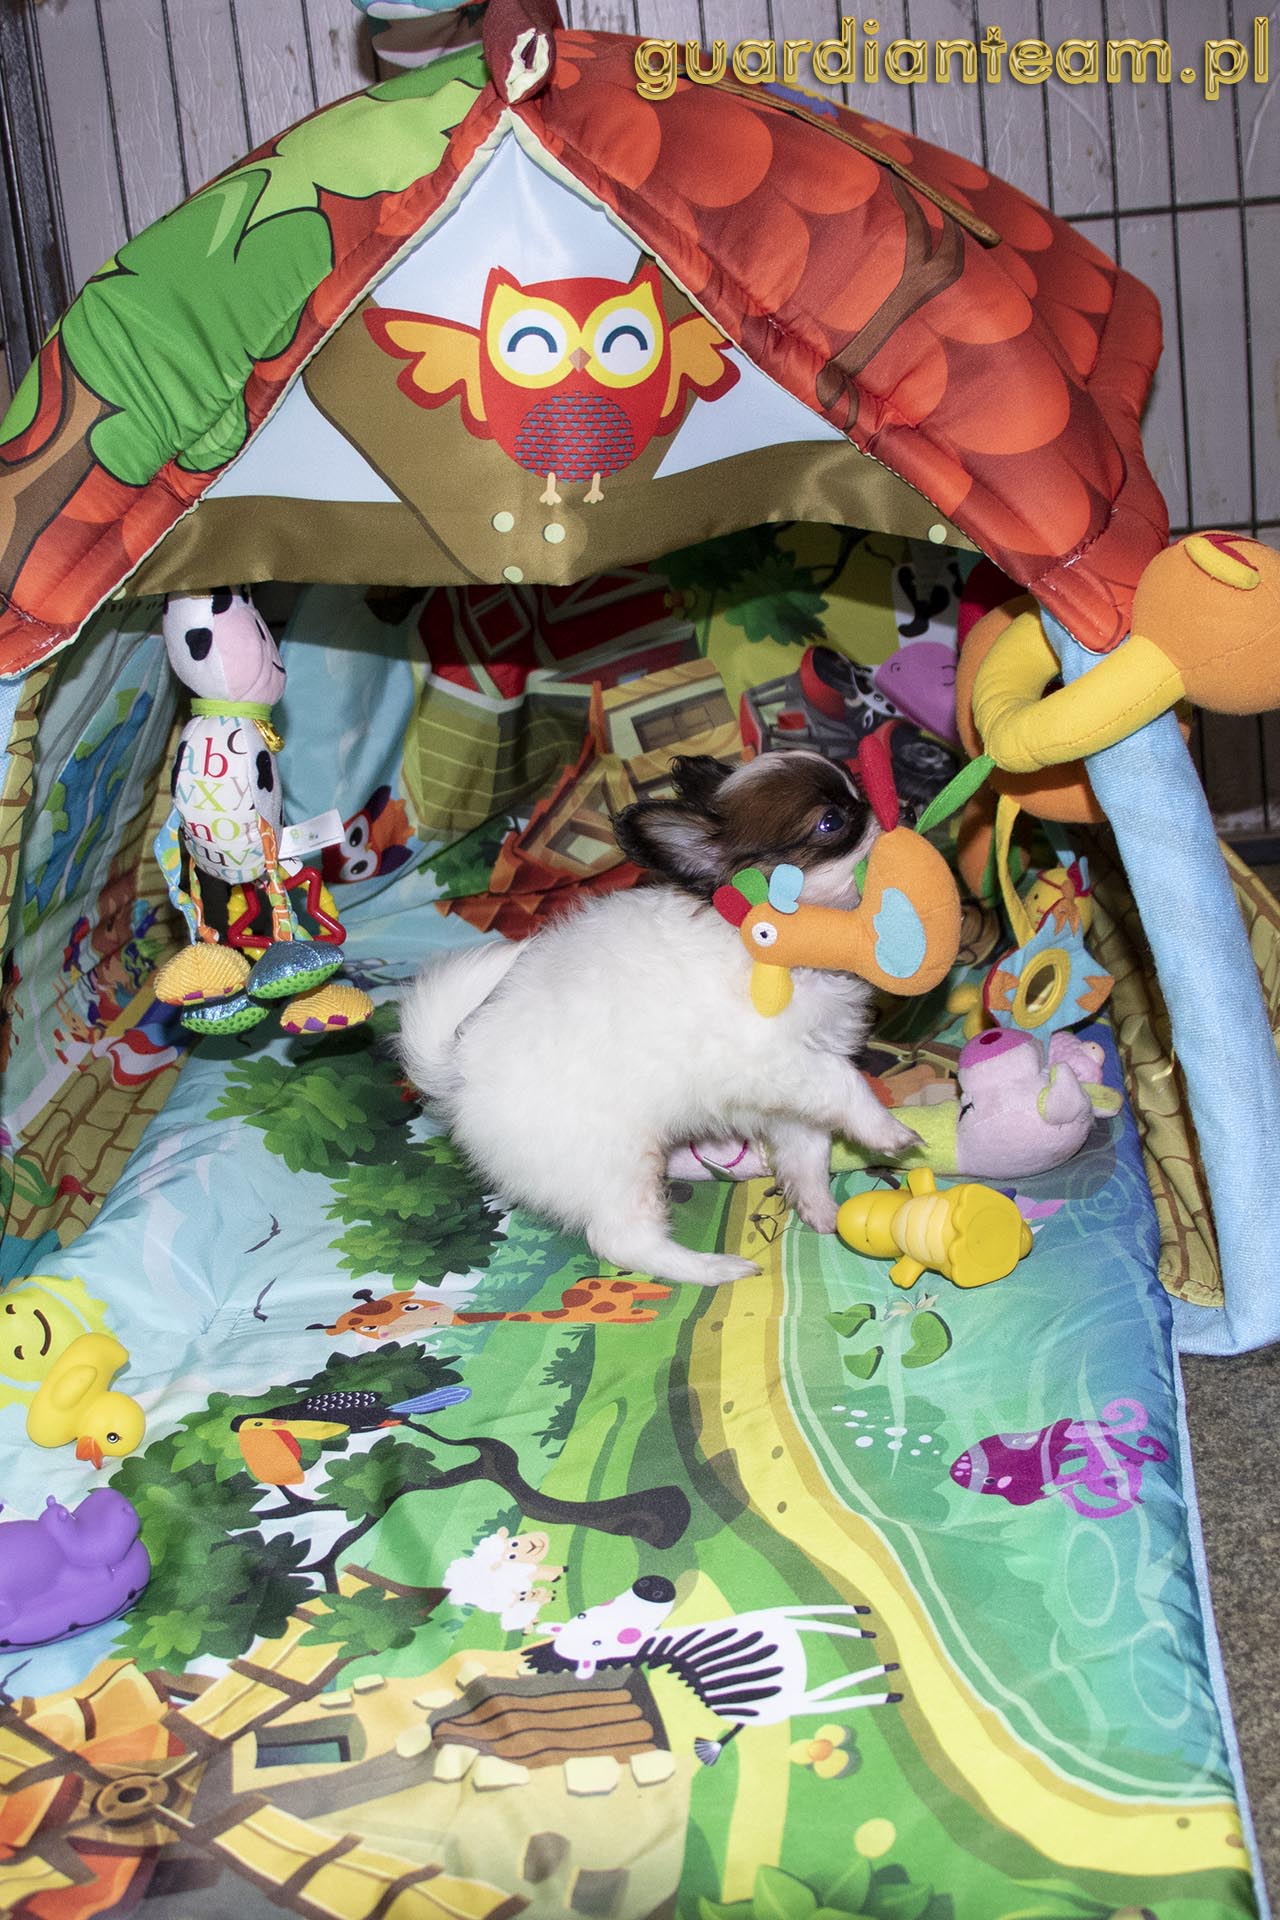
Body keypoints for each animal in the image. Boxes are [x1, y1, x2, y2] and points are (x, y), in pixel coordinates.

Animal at [396, 751, 919, 1286]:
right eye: (830, 822)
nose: (910, 810)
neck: (775, 949)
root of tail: (461, 1071)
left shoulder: (791, 1099)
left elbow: (809, 1152)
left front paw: (822, 1210)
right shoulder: (774, 1059)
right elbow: (844, 1082)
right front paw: (888, 1132)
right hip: (618, 1163)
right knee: (623, 1241)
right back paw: (713, 1269)